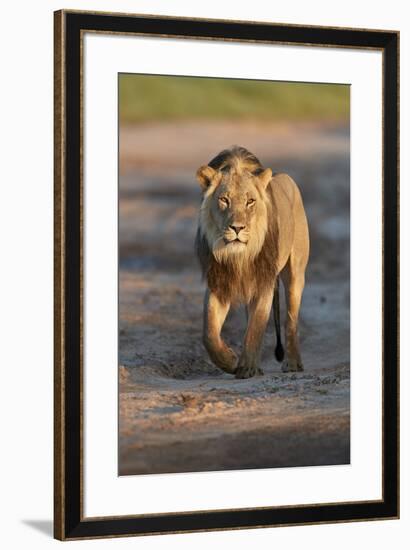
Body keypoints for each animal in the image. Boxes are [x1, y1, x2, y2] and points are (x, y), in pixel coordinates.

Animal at [195, 146, 308, 380]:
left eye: (250, 201)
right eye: (224, 200)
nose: (237, 228)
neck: (239, 256)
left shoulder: (264, 282)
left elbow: (256, 327)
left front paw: (246, 367)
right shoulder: (218, 283)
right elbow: (209, 333)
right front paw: (229, 360)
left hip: (295, 273)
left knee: (290, 320)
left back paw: (293, 364)